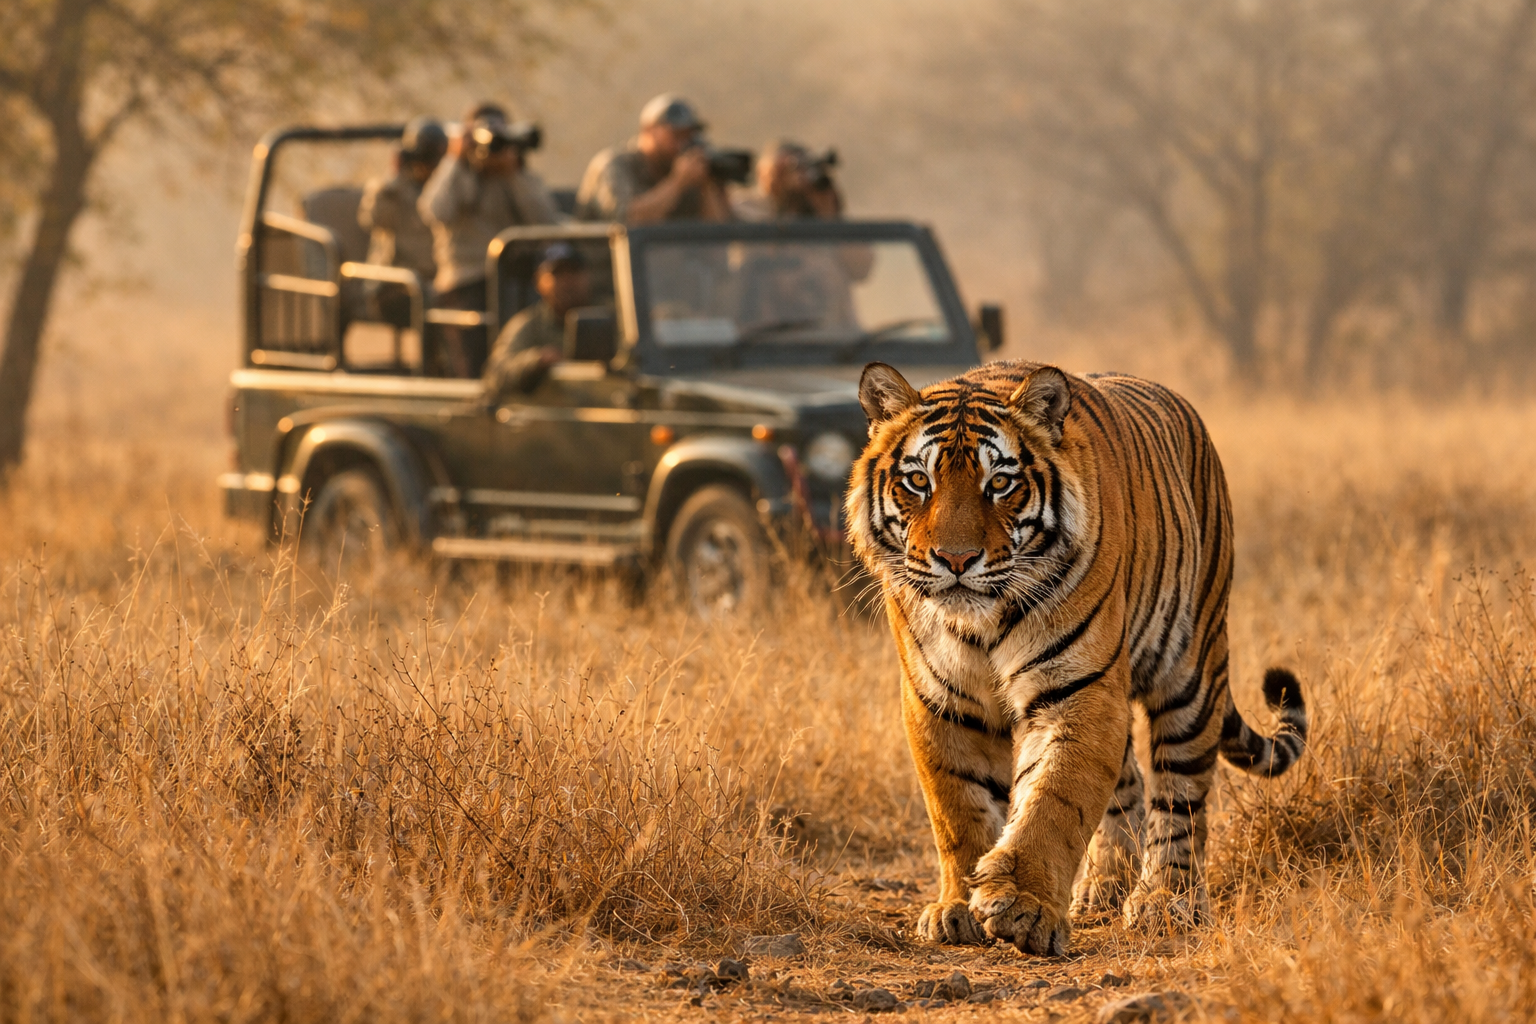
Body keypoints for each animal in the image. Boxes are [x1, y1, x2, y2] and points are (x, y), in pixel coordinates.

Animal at [845, 360, 1307, 955]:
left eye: (1000, 483)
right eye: (918, 482)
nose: (956, 559)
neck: (982, 623)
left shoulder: (1078, 689)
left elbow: (1055, 798)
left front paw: (1023, 906)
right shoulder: (940, 700)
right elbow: (958, 809)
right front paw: (957, 908)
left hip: (1193, 672)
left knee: (1180, 799)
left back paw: (1166, 902)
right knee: (1127, 785)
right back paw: (1103, 888)